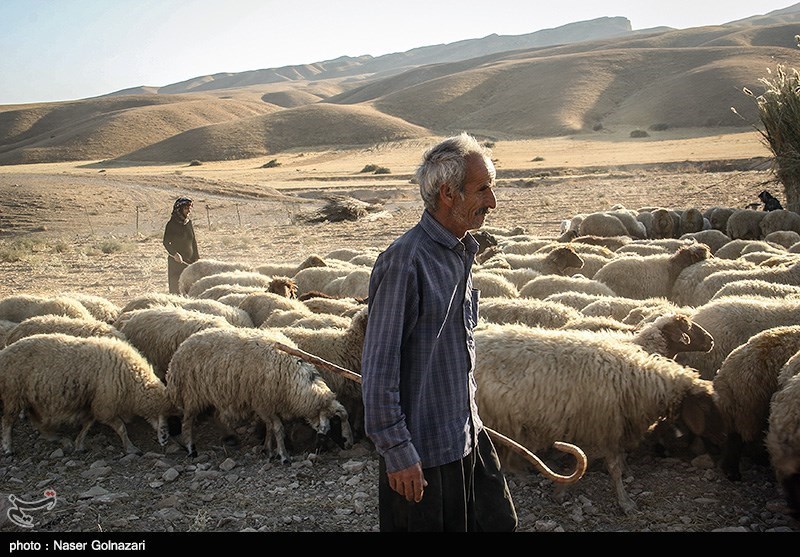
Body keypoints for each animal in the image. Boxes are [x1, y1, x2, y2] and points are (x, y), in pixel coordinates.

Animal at [0, 332, 172, 454]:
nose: (166, 439)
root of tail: (5, 352)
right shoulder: (104, 405)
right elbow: (121, 428)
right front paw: (130, 448)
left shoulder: (93, 403)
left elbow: (88, 424)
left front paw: (79, 444)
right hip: (13, 394)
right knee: (8, 422)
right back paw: (8, 447)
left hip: (32, 399)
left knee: (37, 422)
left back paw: (56, 437)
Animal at [166, 326, 354, 460]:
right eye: (335, 421)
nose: (349, 445)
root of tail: (181, 348)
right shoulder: (263, 403)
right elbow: (277, 428)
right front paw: (283, 456)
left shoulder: (266, 404)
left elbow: (270, 428)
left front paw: (268, 450)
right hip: (192, 394)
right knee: (187, 422)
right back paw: (191, 449)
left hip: (214, 393)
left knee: (216, 415)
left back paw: (229, 437)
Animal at [472, 322, 720, 512]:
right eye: (706, 406)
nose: (711, 341)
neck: (635, 379)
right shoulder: (605, 426)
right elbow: (612, 467)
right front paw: (625, 502)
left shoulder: (601, 428)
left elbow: (595, 460)